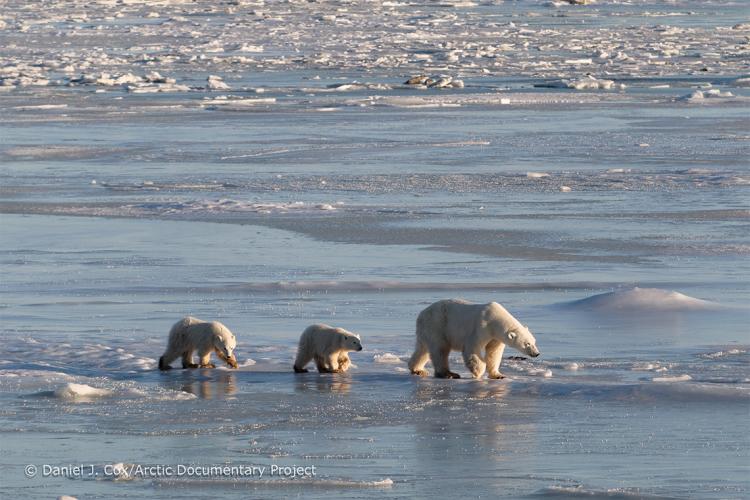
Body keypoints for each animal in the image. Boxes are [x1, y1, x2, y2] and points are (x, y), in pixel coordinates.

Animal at [412, 298, 540, 376]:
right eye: (527, 344)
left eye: (534, 342)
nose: (536, 353)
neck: (495, 319)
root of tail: (420, 315)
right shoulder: (482, 326)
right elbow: (473, 348)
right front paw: (478, 372)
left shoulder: (495, 337)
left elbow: (494, 352)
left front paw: (498, 374)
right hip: (437, 325)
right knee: (440, 349)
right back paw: (448, 374)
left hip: (427, 330)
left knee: (422, 349)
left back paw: (417, 369)